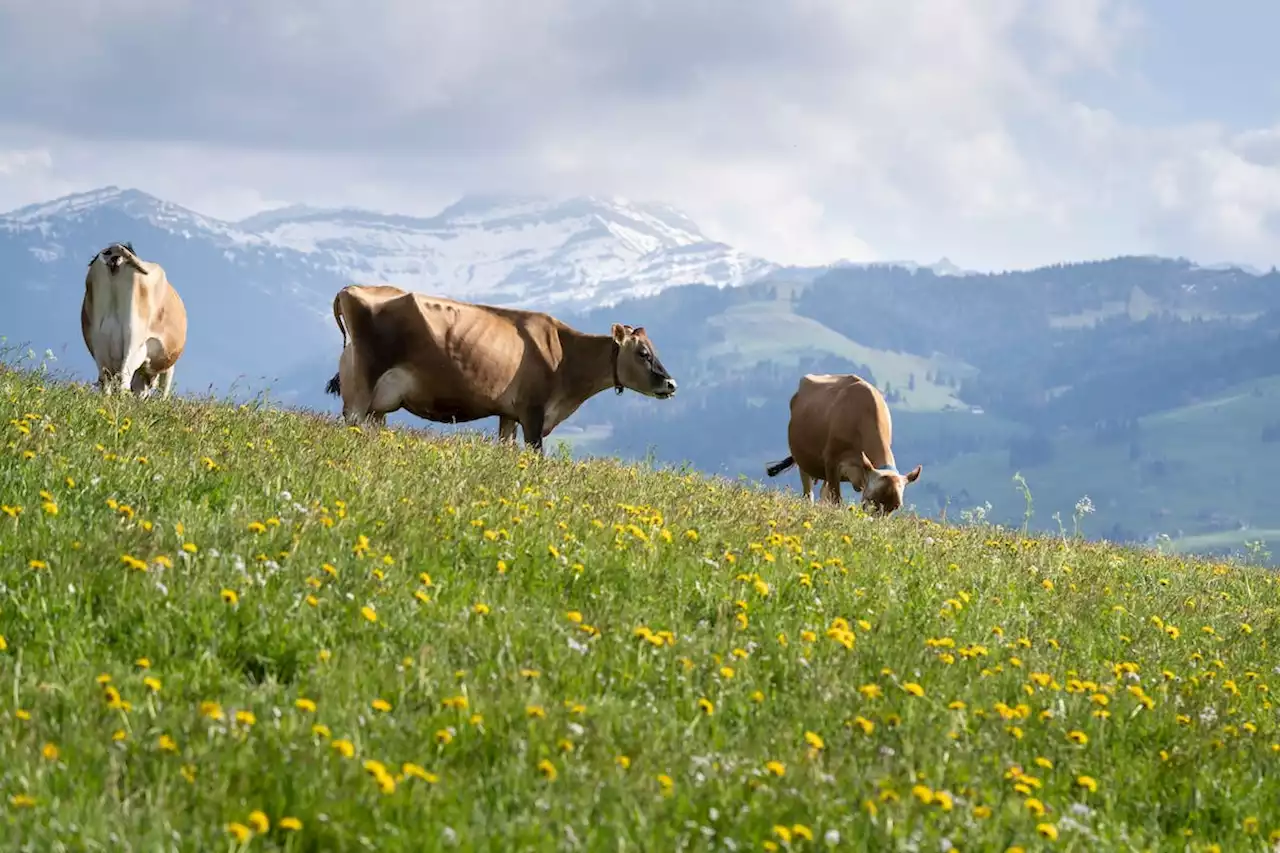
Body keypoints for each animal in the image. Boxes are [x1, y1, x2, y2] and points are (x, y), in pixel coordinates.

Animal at [80, 240, 186, 397]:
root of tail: (114, 250)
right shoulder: (167, 366)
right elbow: (164, 390)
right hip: (134, 337)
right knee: (123, 378)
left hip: (98, 340)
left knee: (105, 380)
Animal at [320, 281, 680, 448]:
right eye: (643, 353)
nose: (671, 383)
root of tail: (351, 289)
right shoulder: (533, 412)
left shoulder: (509, 414)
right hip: (362, 388)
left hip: (378, 404)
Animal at [757, 371, 921, 512]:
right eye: (871, 499)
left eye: (896, 507)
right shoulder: (831, 462)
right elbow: (836, 501)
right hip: (803, 460)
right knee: (808, 494)